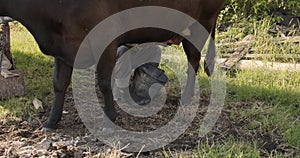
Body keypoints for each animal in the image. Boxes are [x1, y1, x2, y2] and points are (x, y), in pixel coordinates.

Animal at [0, 0, 225, 131]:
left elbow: (103, 82)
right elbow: (59, 84)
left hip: (200, 24)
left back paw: (186, 98)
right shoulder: (63, 47)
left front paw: (109, 118)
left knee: (193, 62)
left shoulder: (105, 40)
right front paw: (51, 121)